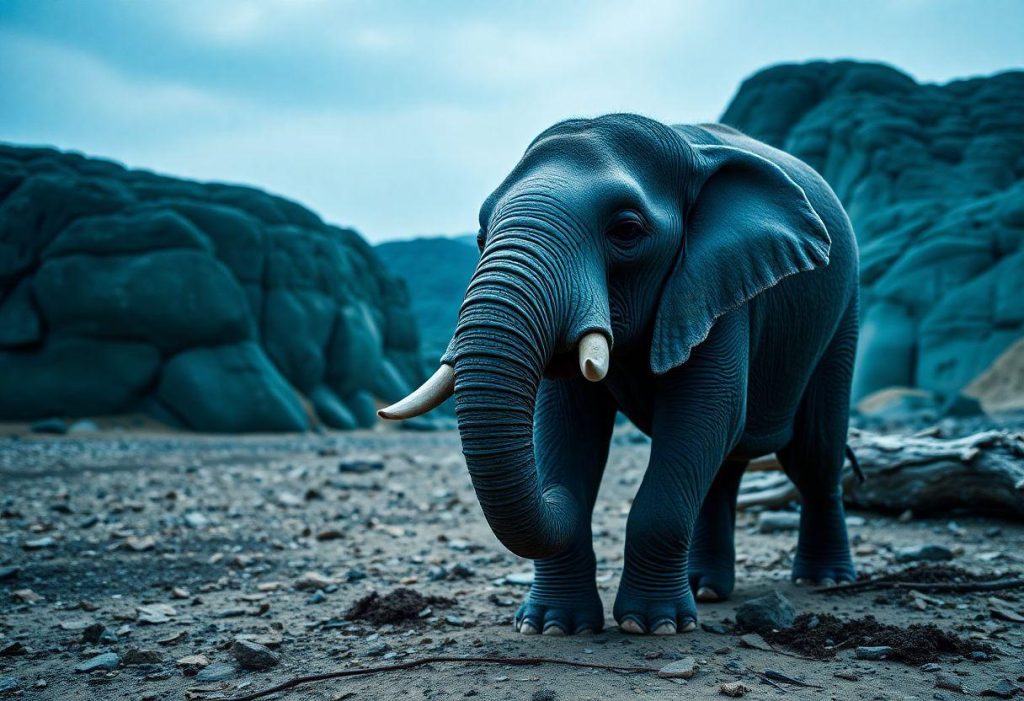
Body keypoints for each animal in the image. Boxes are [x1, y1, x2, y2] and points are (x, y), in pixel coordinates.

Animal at [381, 114, 859, 636]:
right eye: (481, 237)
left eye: (627, 230)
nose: (553, 494)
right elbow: (566, 426)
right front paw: (553, 627)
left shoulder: (717, 288)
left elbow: (704, 412)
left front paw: (653, 626)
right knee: (725, 467)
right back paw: (706, 591)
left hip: (841, 317)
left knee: (813, 455)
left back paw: (824, 581)